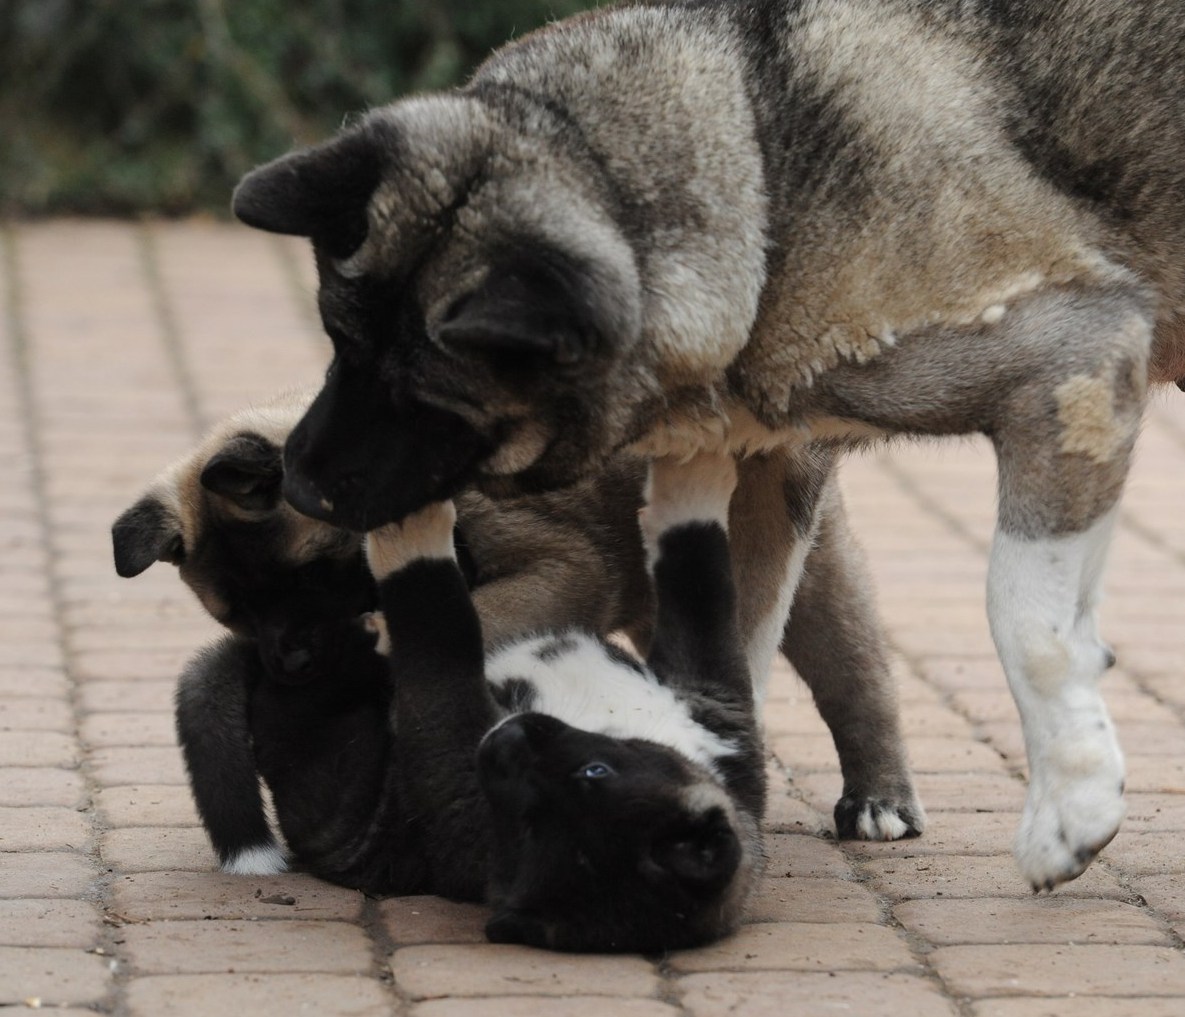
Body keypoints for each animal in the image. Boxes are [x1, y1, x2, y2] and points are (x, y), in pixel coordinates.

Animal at [226, 0, 1180, 886]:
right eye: (337, 340)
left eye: (423, 398)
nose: (297, 486)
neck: (763, 173)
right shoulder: (767, 478)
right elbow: (731, 647)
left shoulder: (1071, 369)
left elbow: (1026, 622)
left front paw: (1071, 806)